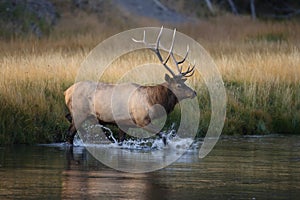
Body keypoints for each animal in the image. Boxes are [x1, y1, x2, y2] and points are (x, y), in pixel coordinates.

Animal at [63, 26, 197, 145]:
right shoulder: (141, 120)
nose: (194, 93)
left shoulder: (124, 124)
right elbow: (163, 136)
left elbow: (121, 142)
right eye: (178, 85)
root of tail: (66, 91)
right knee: (69, 134)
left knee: (68, 118)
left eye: (184, 83)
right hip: (79, 113)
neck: (153, 101)